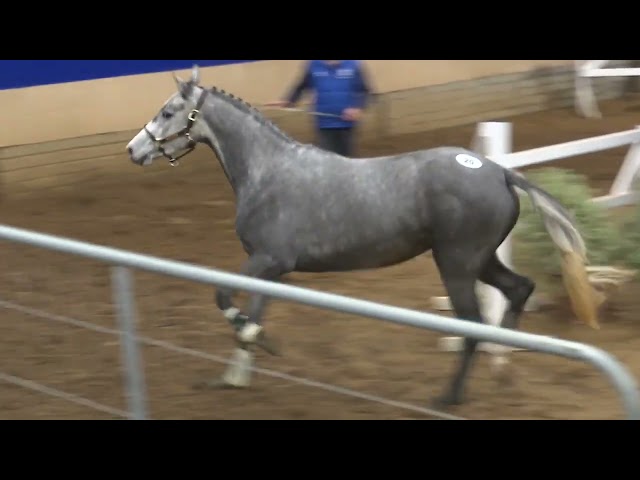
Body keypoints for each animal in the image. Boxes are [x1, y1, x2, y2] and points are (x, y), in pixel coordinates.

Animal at [125, 64, 599, 409]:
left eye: (168, 111)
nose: (134, 150)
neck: (268, 170)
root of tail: (499, 171)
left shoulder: (268, 259)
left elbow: (224, 297)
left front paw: (256, 346)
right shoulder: (271, 269)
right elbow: (253, 311)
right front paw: (239, 368)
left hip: (457, 263)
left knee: (472, 325)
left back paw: (448, 397)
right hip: (480, 260)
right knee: (519, 290)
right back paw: (506, 363)